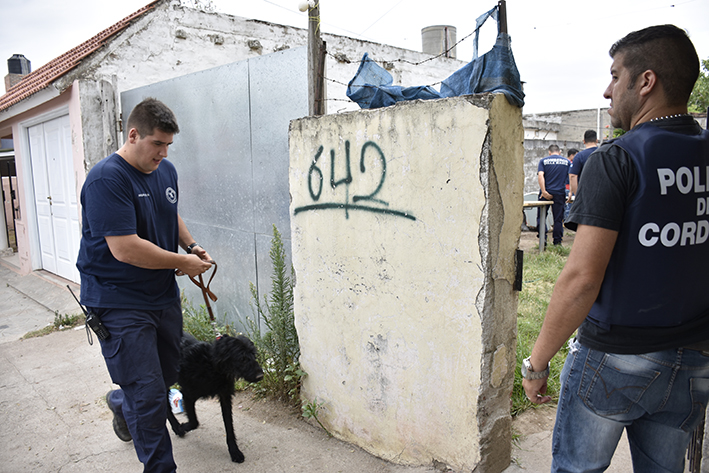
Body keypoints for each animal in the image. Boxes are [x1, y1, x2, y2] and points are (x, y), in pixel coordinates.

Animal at [167, 334, 264, 462]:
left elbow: (229, 427)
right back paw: (176, 427)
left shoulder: (225, 397)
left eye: (253, 354)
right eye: (242, 358)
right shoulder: (188, 395)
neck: (211, 365)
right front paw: (182, 427)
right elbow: (194, 422)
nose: (260, 376)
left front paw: (234, 451)